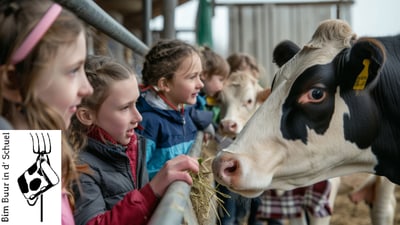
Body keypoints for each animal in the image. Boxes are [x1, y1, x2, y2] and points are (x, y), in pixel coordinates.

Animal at [211, 18, 398, 225]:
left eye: (316, 93)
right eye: (221, 100)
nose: (223, 163)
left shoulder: (323, 199)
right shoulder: (292, 203)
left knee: (383, 211)